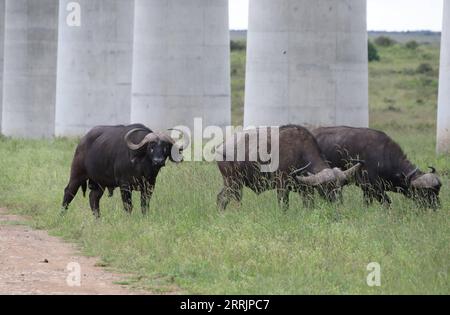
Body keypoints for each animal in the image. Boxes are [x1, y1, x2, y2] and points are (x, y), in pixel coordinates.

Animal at [215, 124, 362, 211]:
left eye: (340, 187)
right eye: (327, 186)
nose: (338, 203)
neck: (300, 153)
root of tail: (222, 148)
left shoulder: (306, 190)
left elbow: (309, 205)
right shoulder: (282, 186)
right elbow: (284, 206)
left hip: (233, 184)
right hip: (233, 182)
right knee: (225, 198)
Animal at [312, 127, 442, 209]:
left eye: (437, 191)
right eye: (425, 191)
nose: (437, 206)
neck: (384, 157)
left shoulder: (367, 190)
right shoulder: (373, 188)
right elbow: (387, 202)